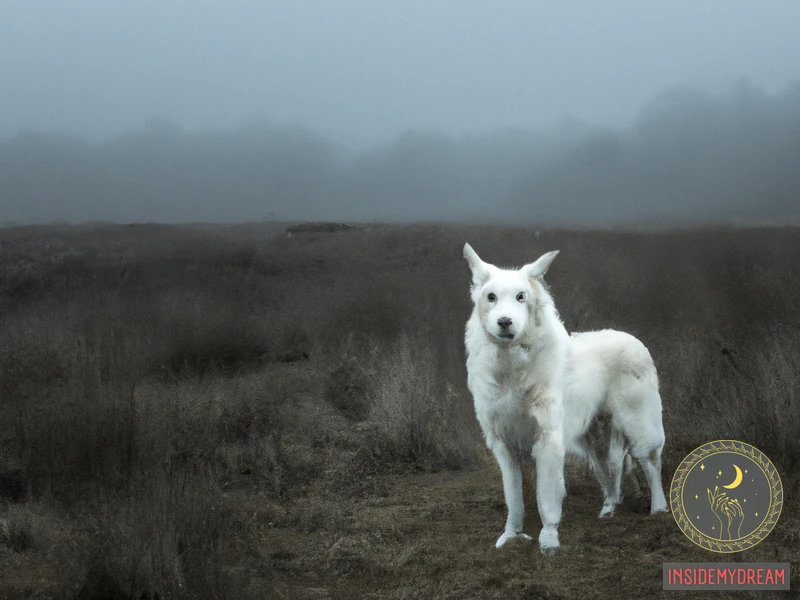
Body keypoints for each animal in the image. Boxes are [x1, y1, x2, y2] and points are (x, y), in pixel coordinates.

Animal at [462, 243, 668, 552]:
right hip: (594, 440)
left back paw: (658, 510)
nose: (505, 322)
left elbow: (546, 498)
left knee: (650, 462)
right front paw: (511, 536)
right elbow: (514, 498)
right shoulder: (504, 446)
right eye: (491, 297)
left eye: (521, 297)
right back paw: (608, 511)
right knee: (612, 469)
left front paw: (548, 541)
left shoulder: (548, 440)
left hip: (639, 426)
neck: (512, 369)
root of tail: (630, 338)